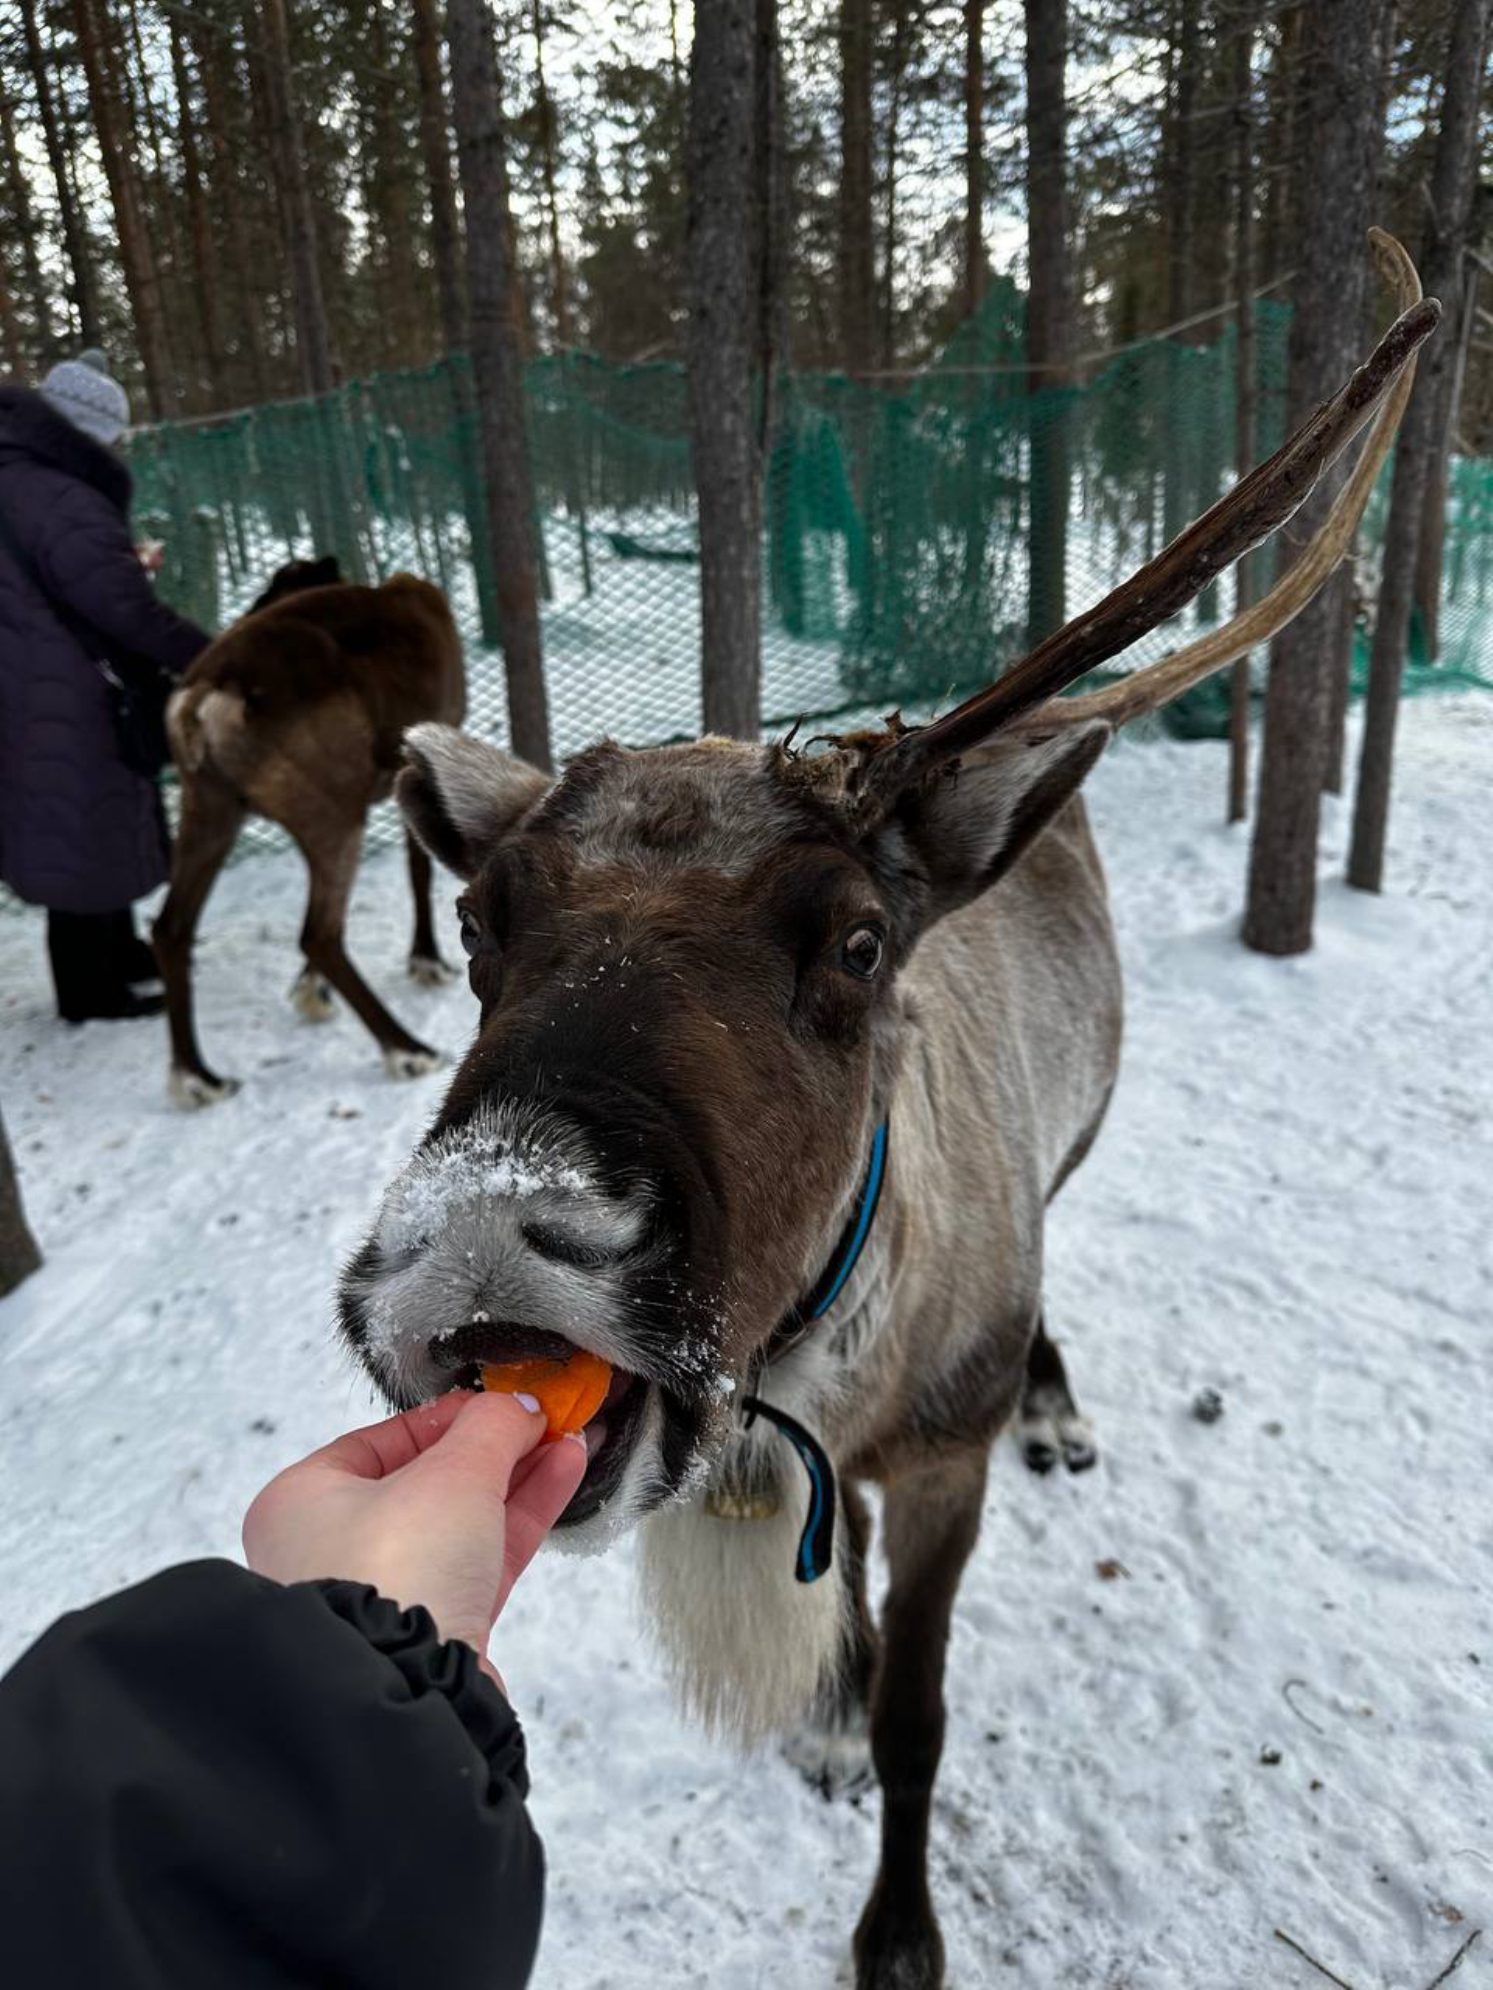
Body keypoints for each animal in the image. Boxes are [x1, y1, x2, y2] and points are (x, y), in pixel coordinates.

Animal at [154, 569, 467, 1107]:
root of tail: (208, 697)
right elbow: (419, 871)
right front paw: (427, 960)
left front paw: (309, 990)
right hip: (334, 812)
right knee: (319, 933)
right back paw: (407, 1049)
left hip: (211, 809)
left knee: (171, 929)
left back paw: (199, 1077)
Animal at [334, 235, 1434, 1989]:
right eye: (487, 921)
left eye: (855, 938)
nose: (495, 1223)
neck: (821, 1359)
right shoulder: (815, 1454)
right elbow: (837, 1605)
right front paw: (833, 1719)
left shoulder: (937, 1461)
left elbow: (929, 1714)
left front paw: (898, 1928)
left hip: (1071, 1150)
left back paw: (1059, 1403)